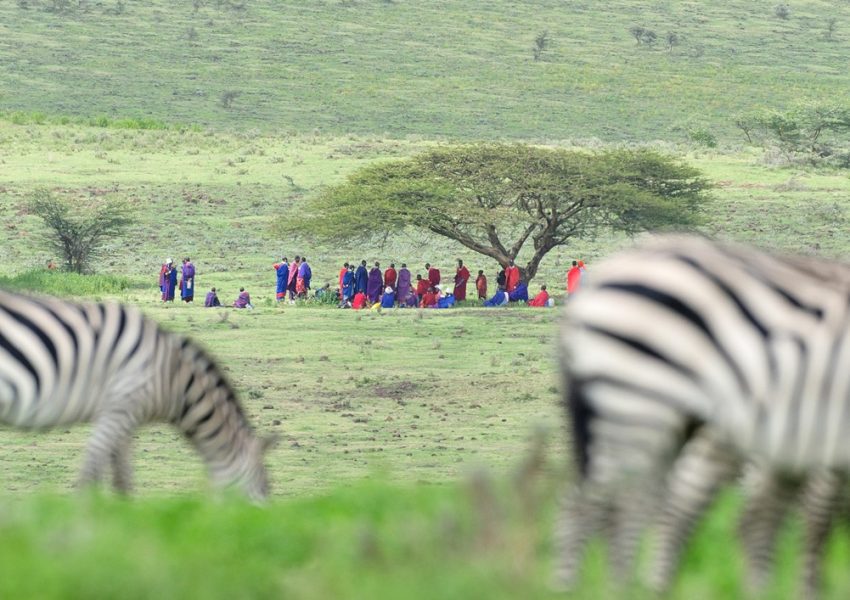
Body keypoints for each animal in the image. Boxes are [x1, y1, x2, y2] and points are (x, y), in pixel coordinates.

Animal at [0, 288, 276, 500]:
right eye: (264, 488)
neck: (172, 377)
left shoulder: (124, 417)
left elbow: (122, 477)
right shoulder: (120, 406)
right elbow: (92, 471)